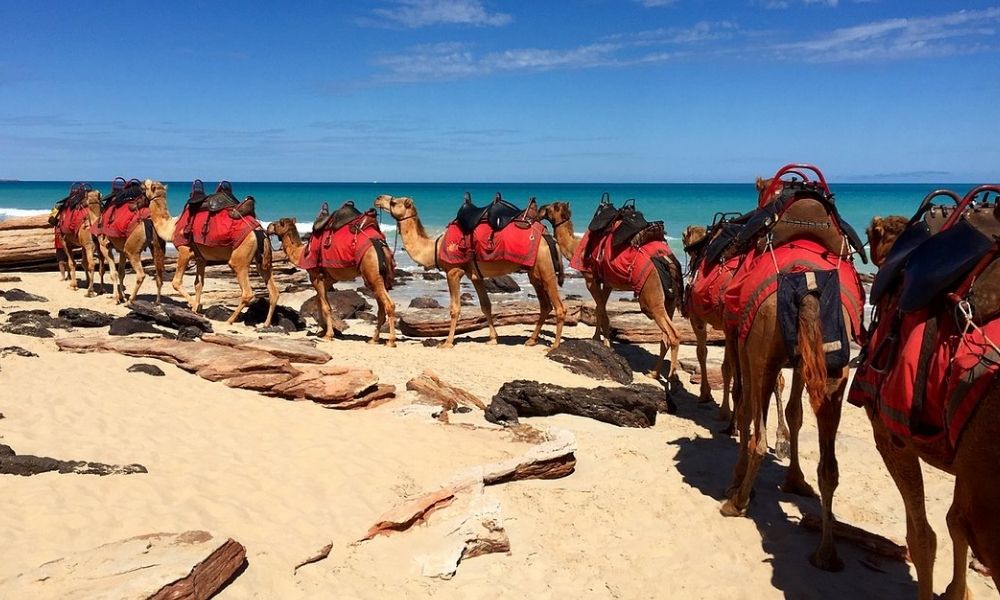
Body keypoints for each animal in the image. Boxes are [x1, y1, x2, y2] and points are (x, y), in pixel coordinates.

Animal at [143, 180, 280, 326]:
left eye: (145, 185)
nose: (140, 184)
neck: (172, 227)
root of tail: (259, 230)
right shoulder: (200, 258)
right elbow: (198, 284)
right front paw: (195, 309)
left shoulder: (184, 250)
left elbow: (176, 282)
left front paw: (193, 305)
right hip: (261, 259)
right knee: (273, 291)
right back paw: (266, 324)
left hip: (241, 255)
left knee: (247, 291)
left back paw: (229, 320)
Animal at [268, 218, 396, 344]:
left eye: (277, 223)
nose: (268, 226)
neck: (302, 254)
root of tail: (383, 247)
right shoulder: (328, 280)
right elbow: (319, 302)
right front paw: (322, 331)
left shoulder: (315, 276)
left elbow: (326, 306)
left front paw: (328, 335)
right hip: (380, 277)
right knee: (381, 309)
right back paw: (374, 339)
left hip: (372, 272)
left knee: (389, 304)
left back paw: (391, 341)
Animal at [376, 195, 568, 350]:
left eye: (394, 202)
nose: (378, 198)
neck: (435, 247)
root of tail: (548, 236)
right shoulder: (475, 276)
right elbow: (486, 306)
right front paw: (493, 338)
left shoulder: (453, 271)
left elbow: (455, 309)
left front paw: (447, 342)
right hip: (534, 272)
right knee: (545, 305)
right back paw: (531, 340)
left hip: (545, 268)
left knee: (559, 307)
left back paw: (554, 346)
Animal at [540, 202, 688, 380]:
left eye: (552, 207)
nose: (540, 209)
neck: (576, 246)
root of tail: (668, 260)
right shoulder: (608, 282)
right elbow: (600, 309)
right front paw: (597, 339)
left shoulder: (590, 278)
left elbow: (602, 311)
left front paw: (606, 344)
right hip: (669, 298)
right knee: (665, 336)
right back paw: (654, 373)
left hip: (651, 293)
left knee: (672, 334)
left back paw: (670, 377)